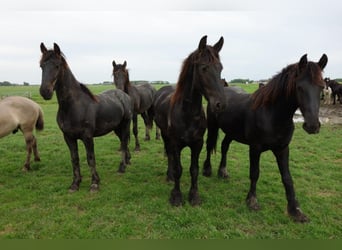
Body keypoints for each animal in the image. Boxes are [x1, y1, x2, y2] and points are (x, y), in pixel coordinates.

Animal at [38, 42, 132, 191]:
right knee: (123, 143)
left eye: (57, 66)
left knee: (123, 143)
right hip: (117, 128)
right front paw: (75, 183)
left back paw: (122, 167)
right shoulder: (68, 137)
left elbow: (90, 158)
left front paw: (94, 183)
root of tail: (123, 94)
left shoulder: (87, 137)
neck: (73, 106)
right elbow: (74, 159)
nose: (45, 92)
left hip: (125, 125)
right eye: (42, 65)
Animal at [152, 35, 227, 207]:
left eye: (220, 68)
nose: (220, 104)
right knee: (169, 155)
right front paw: (176, 196)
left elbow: (194, 169)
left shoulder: (197, 144)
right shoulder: (176, 143)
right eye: (204, 68)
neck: (188, 114)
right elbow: (178, 169)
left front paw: (194, 196)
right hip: (165, 136)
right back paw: (169, 175)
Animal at [203, 53, 328, 222]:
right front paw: (252, 201)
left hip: (231, 132)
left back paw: (223, 172)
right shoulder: (255, 148)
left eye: (321, 87)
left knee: (224, 146)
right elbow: (254, 173)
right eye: (299, 87)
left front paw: (295, 210)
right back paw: (207, 170)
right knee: (210, 145)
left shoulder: (282, 149)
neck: (271, 114)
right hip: (212, 126)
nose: (313, 126)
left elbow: (287, 178)